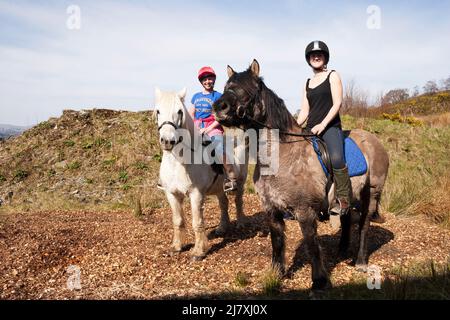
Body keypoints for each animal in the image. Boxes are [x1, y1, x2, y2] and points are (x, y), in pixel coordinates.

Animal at [154, 87, 246, 260]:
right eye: (158, 111)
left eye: (179, 111)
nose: (167, 141)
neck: (179, 162)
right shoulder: (171, 194)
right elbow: (178, 220)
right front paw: (176, 247)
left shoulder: (195, 194)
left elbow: (197, 222)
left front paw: (199, 251)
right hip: (219, 188)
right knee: (223, 203)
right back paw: (222, 228)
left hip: (241, 183)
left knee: (238, 201)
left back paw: (241, 223)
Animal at [213, 60, 388, 290]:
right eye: (226, 87)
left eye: (250, 88)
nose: (218, 107)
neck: (281, 156)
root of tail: (375, 140)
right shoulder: (271, 210)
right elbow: (277, 243)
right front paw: (277, 273)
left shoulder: (305, 211)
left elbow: (312, 245)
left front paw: (319, 281)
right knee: (347, 217)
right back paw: (342, 251)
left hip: (372, 192)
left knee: (365, 224)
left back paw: (359, 261)